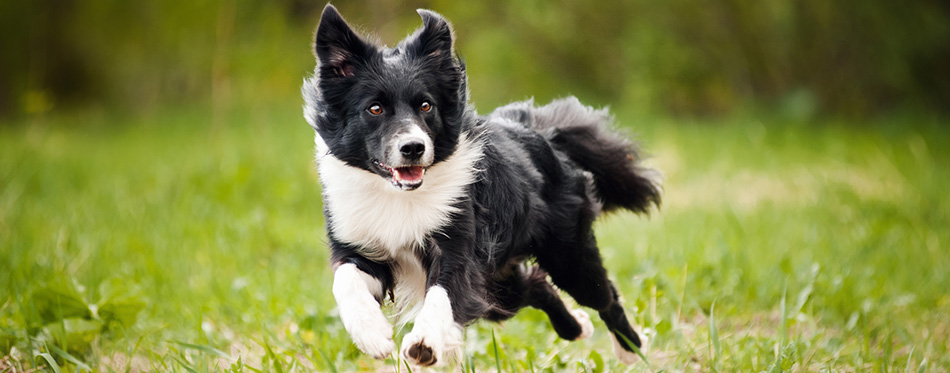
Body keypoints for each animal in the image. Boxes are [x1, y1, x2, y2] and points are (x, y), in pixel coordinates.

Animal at [304, 4, 660, 366]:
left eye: (426, 105)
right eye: (374, 108)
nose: (413, 147)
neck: (398, 196)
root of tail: (540, 132)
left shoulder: (458, 243)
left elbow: (443, 292)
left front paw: (424, 343)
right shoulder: (358, 242)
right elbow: (345, 279)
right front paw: (372, 334)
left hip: (568, 256)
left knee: (604, 296)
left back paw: (631, 349)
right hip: (499, 283)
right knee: (534, 286)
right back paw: (577, 327)